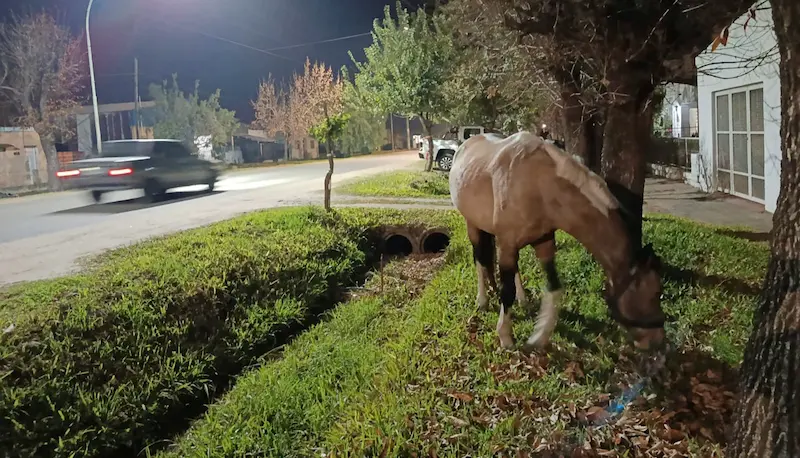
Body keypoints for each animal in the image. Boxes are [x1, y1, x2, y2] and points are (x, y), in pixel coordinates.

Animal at [449, 131, 666, 352]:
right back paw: (482, 300)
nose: (658, 340)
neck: (541, 185)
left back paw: (522, 299)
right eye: (655, 292)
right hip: (473, 225)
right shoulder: (507, 243)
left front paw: (539, 336)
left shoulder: (543, 243)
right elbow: (506, 290)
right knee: (480, 258)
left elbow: (554, 288)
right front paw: (505, 337)